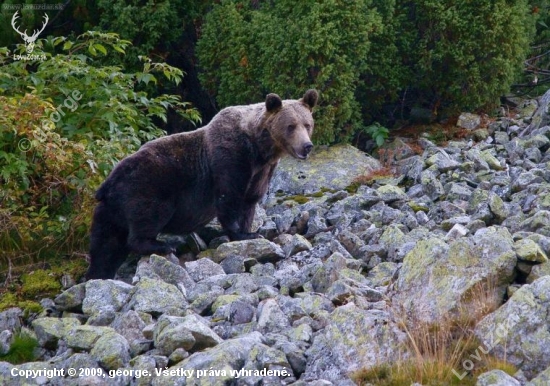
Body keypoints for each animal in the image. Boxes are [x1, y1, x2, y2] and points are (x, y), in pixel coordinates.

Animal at [86, 89, 320, 278]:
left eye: (307, 124)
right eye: (290, 126)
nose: (306, 146)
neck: (259, 149)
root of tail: (108, 182)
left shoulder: (262, 171)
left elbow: (250, 201)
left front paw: (250, 231)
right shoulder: (231, 158)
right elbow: (229, 197)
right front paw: (241, 233)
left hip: (110, 209)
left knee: (106, 246)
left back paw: (99, 275)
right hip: (146, 186)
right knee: (147, 217)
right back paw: (162, 246)